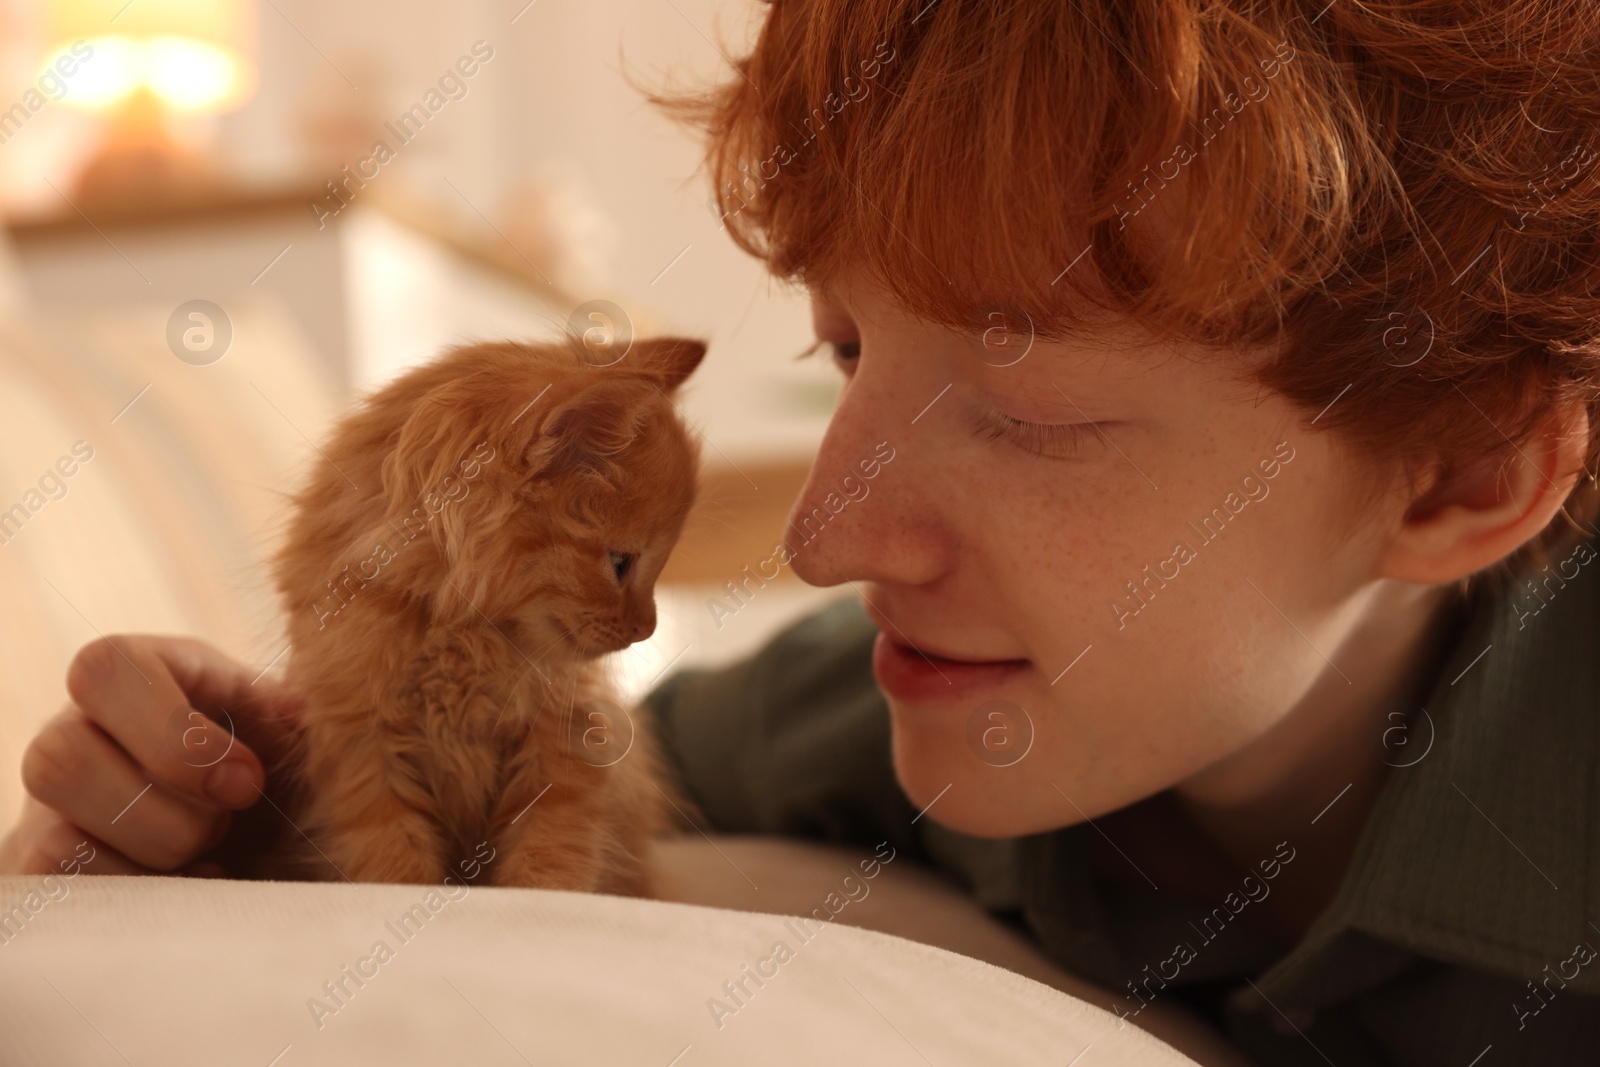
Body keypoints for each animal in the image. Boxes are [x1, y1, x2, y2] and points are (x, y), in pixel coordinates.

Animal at [268, 334, 707, 895]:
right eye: (621, 563)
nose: (646, 630)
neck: (463, 637)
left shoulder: (565, 748)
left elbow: (552, 861)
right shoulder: (363, 751)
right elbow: (393, 864)